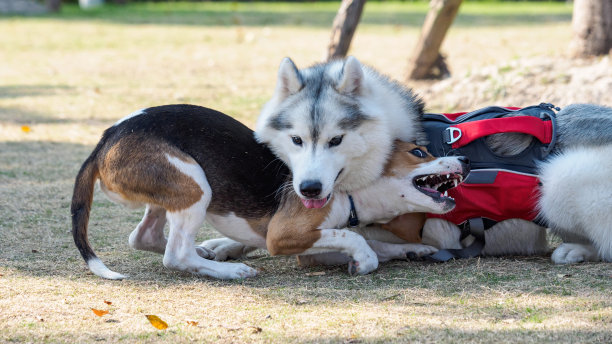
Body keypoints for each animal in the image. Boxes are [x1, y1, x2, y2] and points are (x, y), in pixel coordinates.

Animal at [71, 105, 468, 280]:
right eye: (419, 153)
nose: (463, 157)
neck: (347, 182)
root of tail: (107, 137)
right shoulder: (286, 235)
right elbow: (357, 240)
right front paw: (365, 261)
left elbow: (375, 243)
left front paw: (414, 250)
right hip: (195, 183)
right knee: (175, 254)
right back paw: (231, 271)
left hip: (172, 189)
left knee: (144, 237)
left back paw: (208, 254)